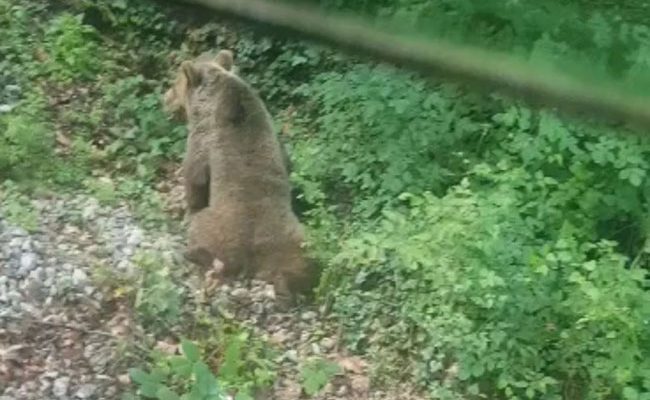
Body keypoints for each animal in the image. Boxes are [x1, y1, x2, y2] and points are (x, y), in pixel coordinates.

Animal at [161, 50, 314, 306]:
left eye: (175, 84)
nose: (164, 98)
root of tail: (250, 262)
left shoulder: (204, 139)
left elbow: (195, 176)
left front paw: (185, 206)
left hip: (219, 228)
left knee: (203, 232)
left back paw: (192, 251)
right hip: (294, 239)